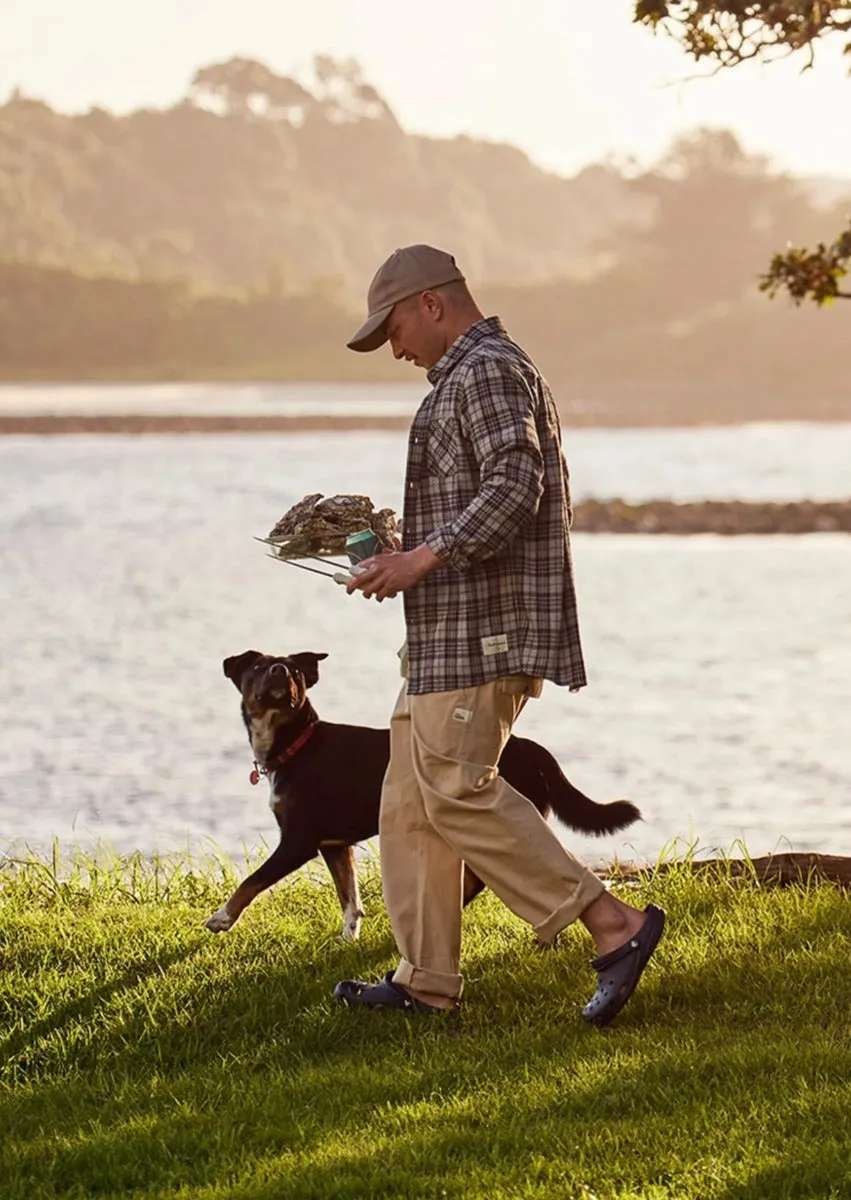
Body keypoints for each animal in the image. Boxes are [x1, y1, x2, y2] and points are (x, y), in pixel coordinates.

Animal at [205, 652, 638, 940]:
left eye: (293, 670)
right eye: (258, 667)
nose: (279, 670)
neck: (296, 743)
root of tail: (533, 749)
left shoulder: (299, 841)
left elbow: (252, 881)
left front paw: (222, 917)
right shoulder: (334, 845)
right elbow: (349, 895)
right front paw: (348, 936)